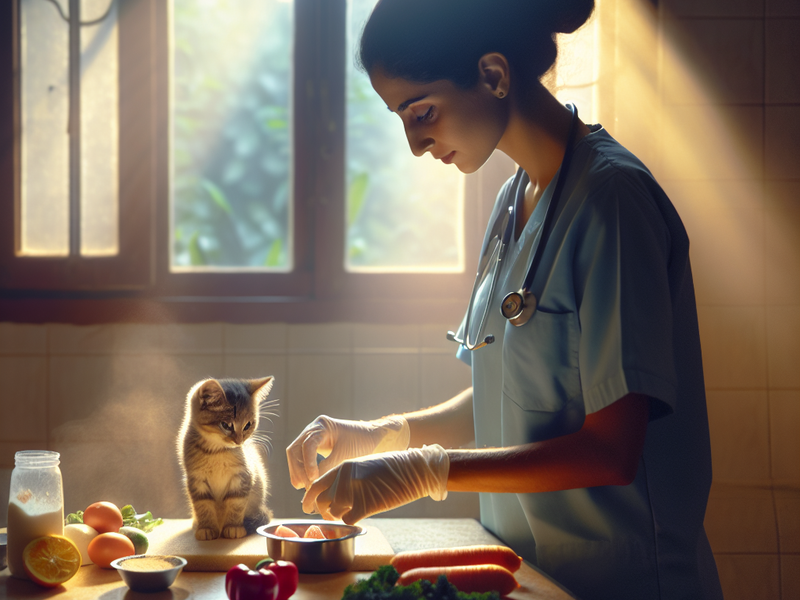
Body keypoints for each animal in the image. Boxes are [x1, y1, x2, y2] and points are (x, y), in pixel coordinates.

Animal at [177, 376, 276, 540]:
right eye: (226, 425)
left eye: (248, 425)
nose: (239, 441)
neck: (217, 452)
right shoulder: (196, 480)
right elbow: (203, 506)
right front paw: (207, 528)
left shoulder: (242, 477)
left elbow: (236, 504)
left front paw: (233, 527)